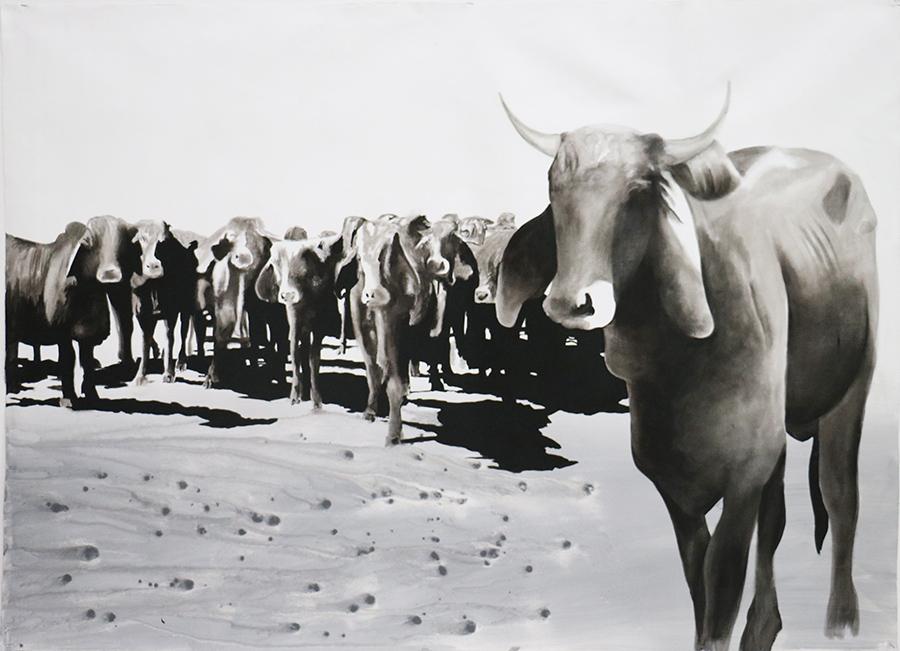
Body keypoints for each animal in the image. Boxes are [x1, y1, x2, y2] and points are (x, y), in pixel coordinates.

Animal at [6, 216, 142, 405]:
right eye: (90, 244)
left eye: (123, 246)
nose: (110, 274)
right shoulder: (61, 330)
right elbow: (68, 360)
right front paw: (69, 398)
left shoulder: (89, 336)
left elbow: (87, 362)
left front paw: (92, 395)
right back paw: (13, 389)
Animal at [130, 220, 199, 385]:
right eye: (142, 238)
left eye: (164, 241)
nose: (154, 265)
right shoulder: (141, 315)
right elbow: (145, 342)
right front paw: (140, 376)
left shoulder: (171, 312)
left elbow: (170, 339)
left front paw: (168, 373)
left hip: (186, 307)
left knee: (183, 332)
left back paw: (180, 362)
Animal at [254, 232, 343, 407]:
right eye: (275, 265)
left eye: (305, 269)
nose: (288, 295)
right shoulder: (293, 317)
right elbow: (294, 352)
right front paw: (295, 395)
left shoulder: (319, 326)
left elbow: (313, 357)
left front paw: (316, 398)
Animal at [336, 215, 449, 444]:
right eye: (360, 259)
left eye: (388, 258)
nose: (372, 294)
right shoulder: (369, 329)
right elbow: (377, 373)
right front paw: (373, 415)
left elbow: (396, 378)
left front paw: (394, 435)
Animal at [495, 88, 878, 651]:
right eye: (554, 186)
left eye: (637, 190)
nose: (571, 303)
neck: (676, 371)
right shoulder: (675, 485)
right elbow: (698, 576)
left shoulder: (743, 477)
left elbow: (721, 581)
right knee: (778, 520)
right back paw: (765, 627)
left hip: (852, 390)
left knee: (840, 497)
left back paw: (842, 622)